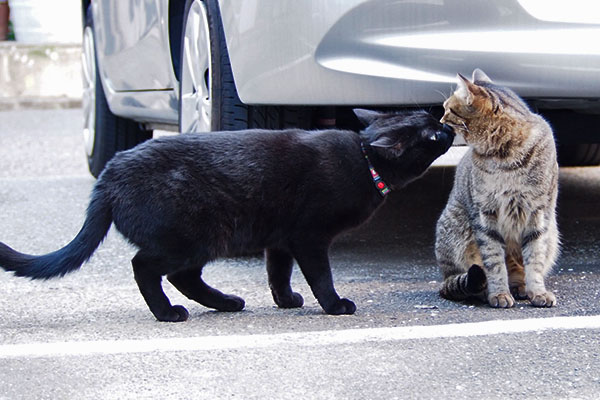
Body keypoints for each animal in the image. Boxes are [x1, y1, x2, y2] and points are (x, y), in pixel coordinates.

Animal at [0, 109, 452, 322]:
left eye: (434, 120)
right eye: (432, 133)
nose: (447, 125)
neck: (363, 158)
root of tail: (110, 173)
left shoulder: (280, 240)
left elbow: (278, 273)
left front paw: (286, 300)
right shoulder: (308, 237)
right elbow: (320, 276)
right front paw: (334, 305)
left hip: (203, 240)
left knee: (183, 277)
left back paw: (226, 302)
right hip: (195, 235)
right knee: (146, 267)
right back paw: (168, 313)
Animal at [436, 69, 556, 308]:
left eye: (449, 109)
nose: (439, 120)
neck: (505, 156)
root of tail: (444, 277)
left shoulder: (539, 215)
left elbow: (535, 259)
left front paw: (538, 292)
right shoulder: (485, 216)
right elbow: (494, 264)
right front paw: (499, 293)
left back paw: (520, 287)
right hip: (457, 226)